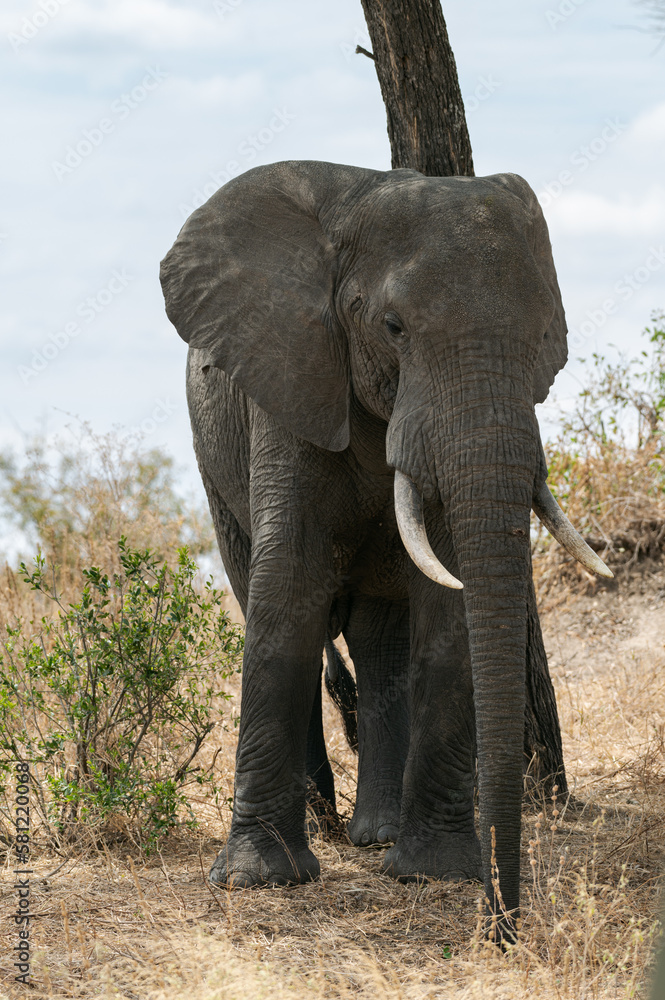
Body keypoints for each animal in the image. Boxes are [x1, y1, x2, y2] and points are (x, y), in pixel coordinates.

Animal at [160, 159, 611, 936]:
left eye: (546, 338)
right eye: (392, 327)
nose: (501, 927)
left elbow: (448, 604)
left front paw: (431, 870)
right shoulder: (293, 378)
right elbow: (288, 591)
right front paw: (257, 880)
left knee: (379, 638)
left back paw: (377, 834)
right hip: (213, 460)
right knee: (265, 595)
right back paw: (325, 826)